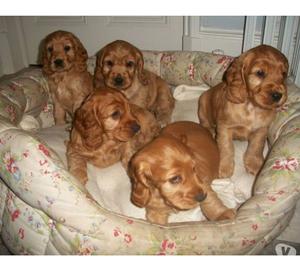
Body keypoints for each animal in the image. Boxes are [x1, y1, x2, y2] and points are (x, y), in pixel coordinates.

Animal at [198, 44, 290, 177]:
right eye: (260, 73)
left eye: (283, 74)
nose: (278, 95)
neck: (252, 107)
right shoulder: (224, 128)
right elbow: (226, 148)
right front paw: (223, 168)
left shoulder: (261, 130)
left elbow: (256, 147)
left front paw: (254, 165)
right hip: (202, 105)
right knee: (205, 124)